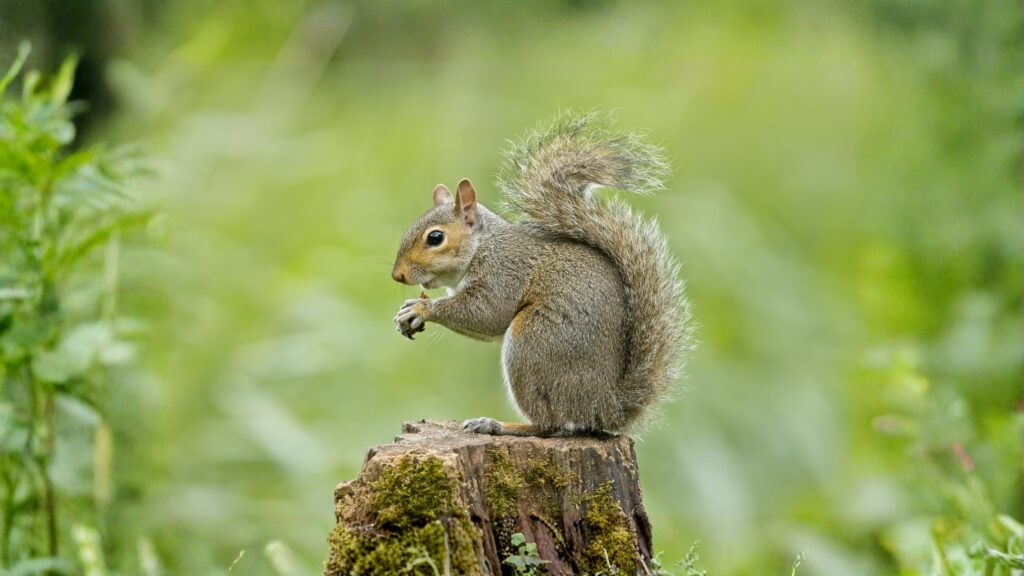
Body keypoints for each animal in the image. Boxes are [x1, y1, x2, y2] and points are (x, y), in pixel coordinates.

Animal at [391, 112, 693, 437]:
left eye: (435, 238)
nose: (397, 275)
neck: (483, 246)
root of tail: (603, 408)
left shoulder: (504, 272)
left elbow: (488, 314)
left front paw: (422, 308)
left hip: (533, 344)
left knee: (549, 423)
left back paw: (498, 424)